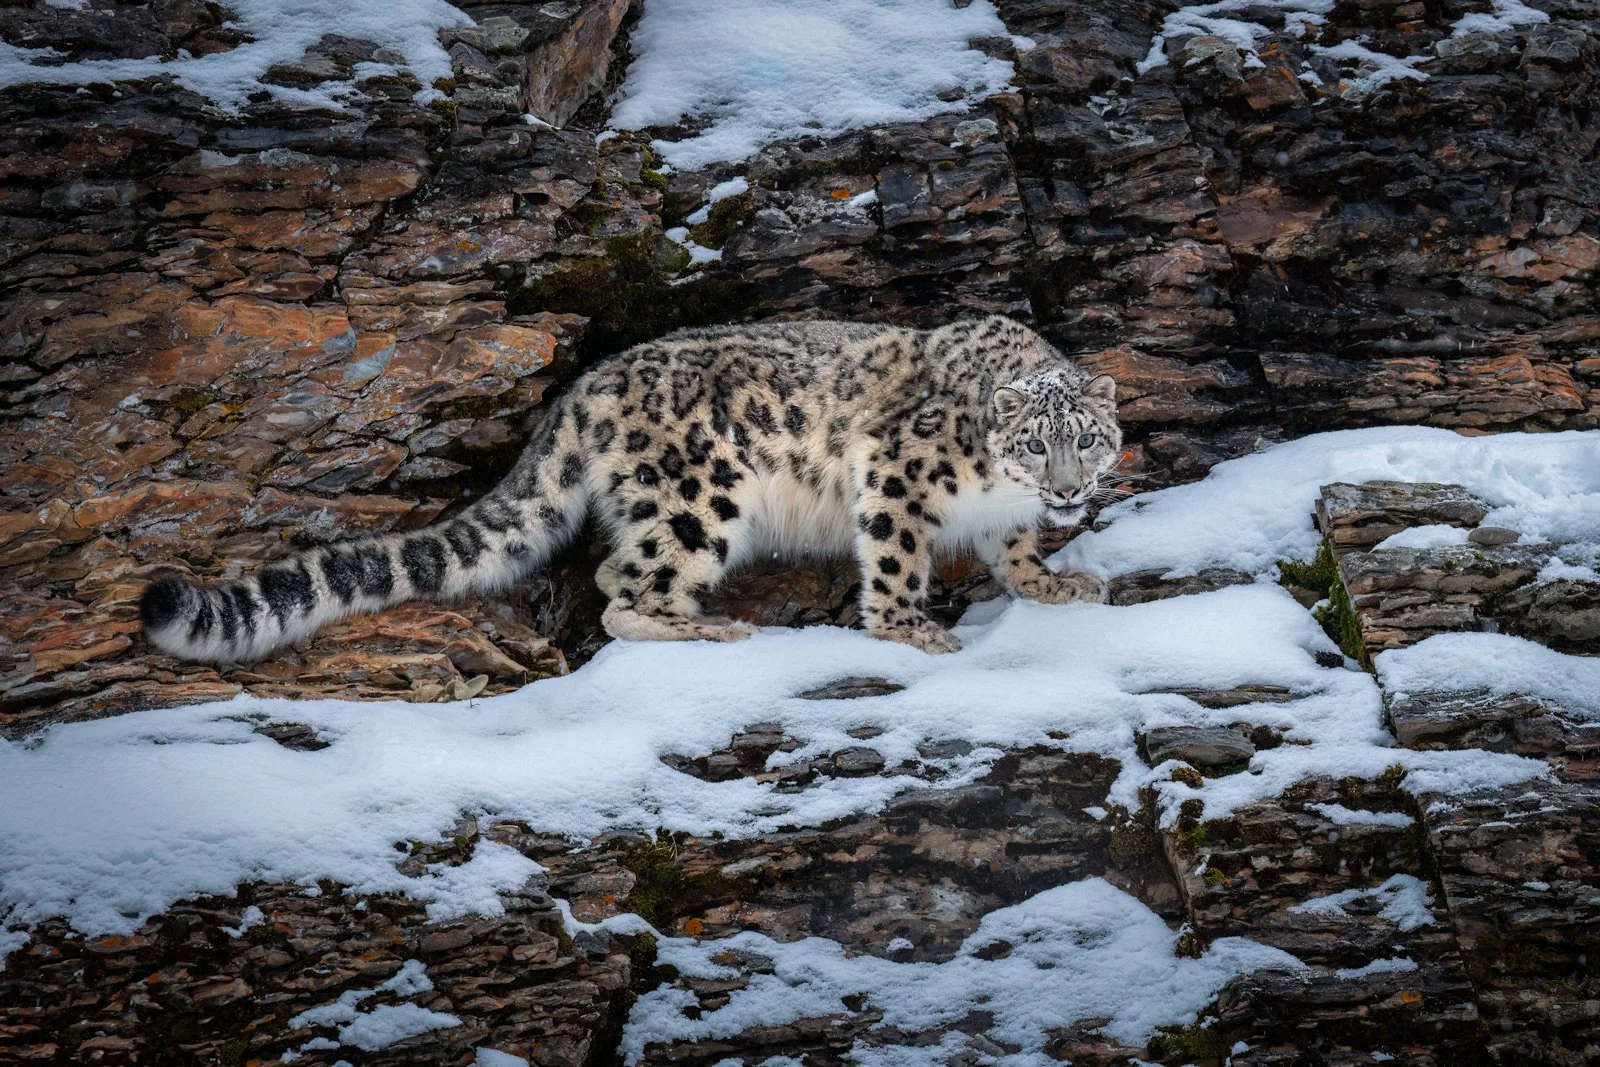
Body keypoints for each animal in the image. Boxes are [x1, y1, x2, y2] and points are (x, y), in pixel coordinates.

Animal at [140, 315, 1123, 662]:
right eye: (1034, 444)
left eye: (1087, 440)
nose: (1070, 491)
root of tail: (582, 388)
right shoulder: (896, 474)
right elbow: (894, 555)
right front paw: (912, 629)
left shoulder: (1006, 517)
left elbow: (1016, 549)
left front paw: (1057, 582)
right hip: (700, 496)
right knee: (623, 589)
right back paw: (709, 626)